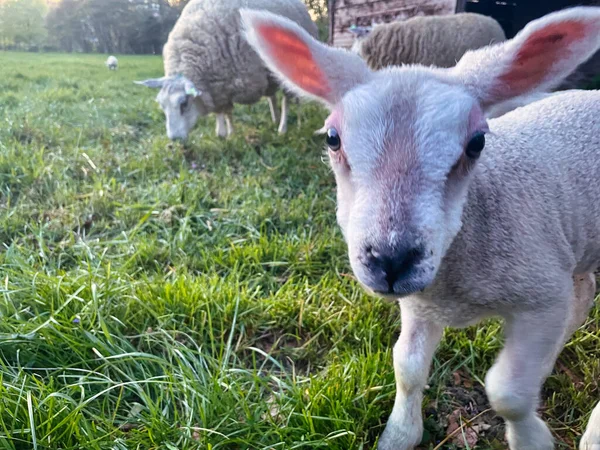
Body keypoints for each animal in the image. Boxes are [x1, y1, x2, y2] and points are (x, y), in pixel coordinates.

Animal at [134, 0, 316, 140]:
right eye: (161, 105)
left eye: (184, 103)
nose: (174, 139)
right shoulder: (219, 86)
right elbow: (224, 112)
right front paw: (225, 132)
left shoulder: (225, 84)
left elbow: (225, 111)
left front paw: (226, 134)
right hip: (269, 74)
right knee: (272, 96)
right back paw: (275, 118)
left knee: (287, 100)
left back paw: (284, 128)